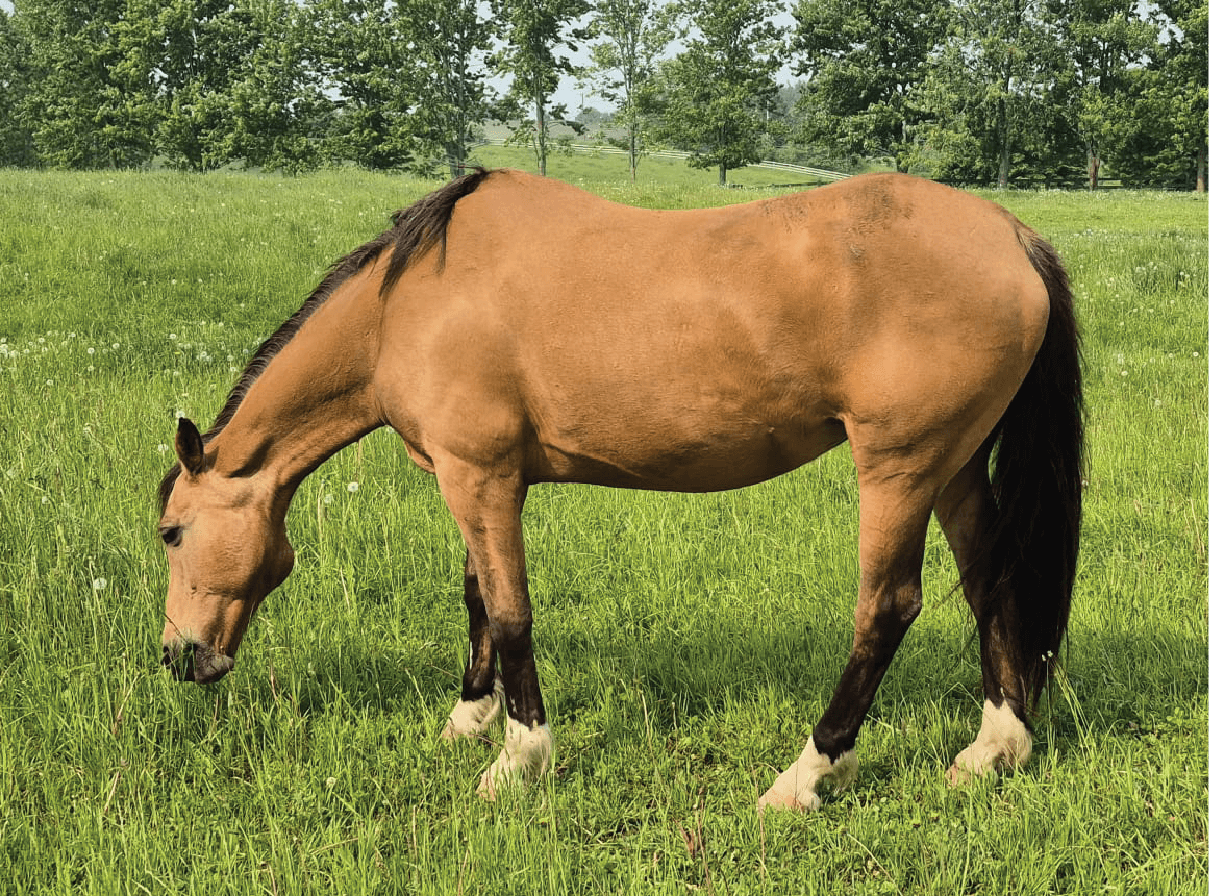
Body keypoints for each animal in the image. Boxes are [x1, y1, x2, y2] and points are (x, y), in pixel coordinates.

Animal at [157, 168, 1083, 810]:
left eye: (170, 532)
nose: (177, 655)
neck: (408, 306)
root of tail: (1010, 235)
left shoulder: (481, 477)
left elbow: (509, 611)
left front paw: (517, 761)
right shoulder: (470, 482)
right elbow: (476, 596)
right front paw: (467, 721)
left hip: (900, 467)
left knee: (886, 608)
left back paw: (805, 776)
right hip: (953, 467)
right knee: (988, 586)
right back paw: (992, 750)